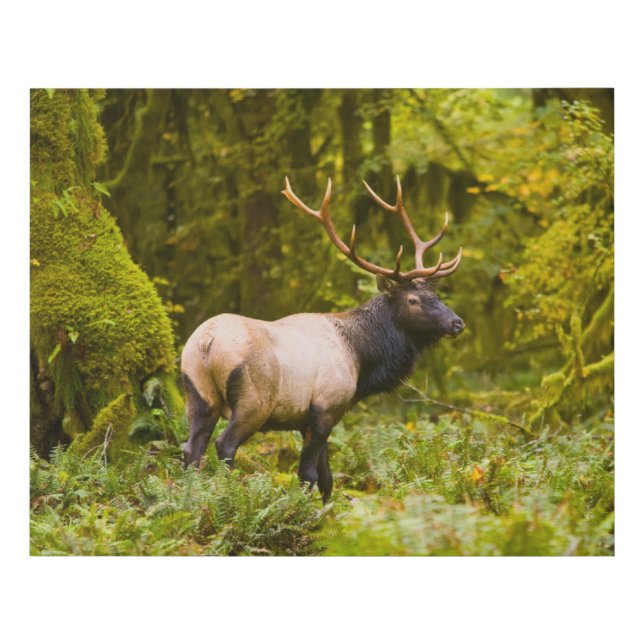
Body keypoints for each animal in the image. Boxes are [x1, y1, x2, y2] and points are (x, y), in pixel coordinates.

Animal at [181, 176, 465, 502]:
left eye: (437, 295)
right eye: (414, 300)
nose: (457, 323)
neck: (361, 360)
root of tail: (207, 342)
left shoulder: (315, 418)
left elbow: (327, 478)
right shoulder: (326, 407)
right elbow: (308, 475)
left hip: (197, 392)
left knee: (190, 448)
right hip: (254, 400)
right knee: (224, 445)